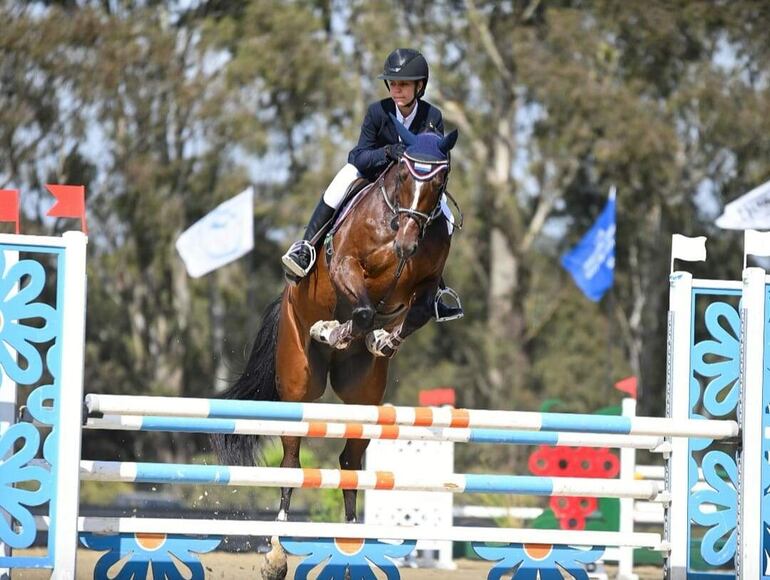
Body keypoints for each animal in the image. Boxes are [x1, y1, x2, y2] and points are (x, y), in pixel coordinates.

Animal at [210, 121, 456, 540]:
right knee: (291, 459)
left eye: (438, 183)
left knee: (350, 462)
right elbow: (362, 309)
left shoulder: (423, 286)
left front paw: (381, 339)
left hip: (363, 397)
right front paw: (332, 330)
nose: (408, 244)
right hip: (300, 384)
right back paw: (280, 530)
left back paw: (353, 532)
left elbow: (417, 311)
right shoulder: (345, 264)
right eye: (404, 176)